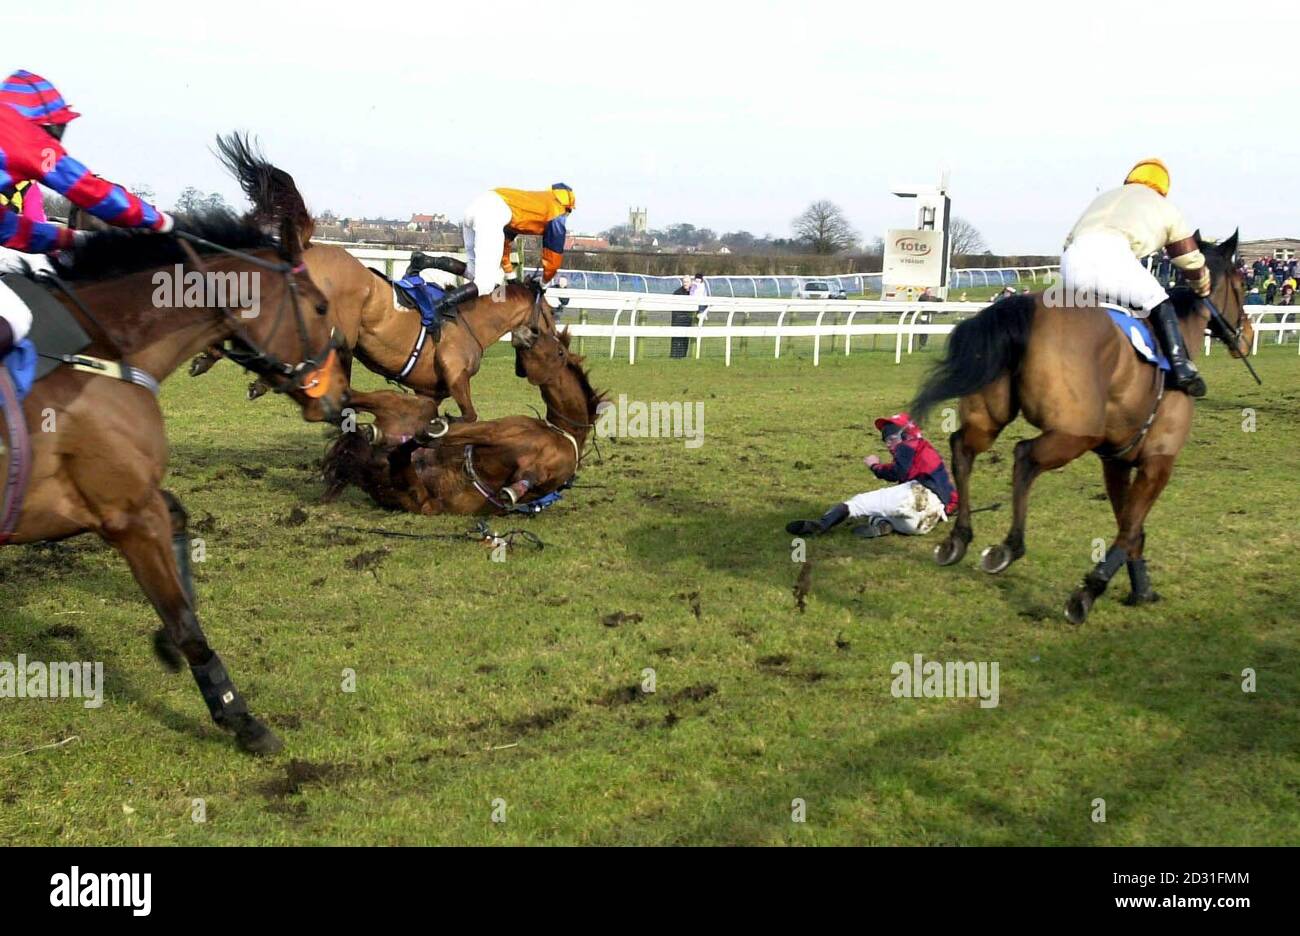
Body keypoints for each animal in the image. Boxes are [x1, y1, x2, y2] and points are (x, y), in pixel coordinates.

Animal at [0, 201, 351, 759]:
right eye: (319, 308)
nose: (340, 395)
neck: (106, 351)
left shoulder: (124, 501)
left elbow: (180, 524)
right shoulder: (125, 514)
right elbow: (185, 623)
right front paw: (240, 717)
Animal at [325, 328, 608, 514]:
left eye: (559, 351)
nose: (530, 331)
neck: (561, 432)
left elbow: (524, 480)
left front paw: (514, 490)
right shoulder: (493, 431)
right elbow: (448, 433)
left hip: (419, 496)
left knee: (394, 452)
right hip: (413, 406)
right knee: (353, 399)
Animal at [909, 232, 1253, 624]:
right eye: (1242, 284)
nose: (1246, 335)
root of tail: (1020, 307)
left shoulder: (1116, 461)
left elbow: (1131, 529)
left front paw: (1141, 589)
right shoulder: (1158, 463)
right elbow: (1130, 529)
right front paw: (1090, 590)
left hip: (988, 416)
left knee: (963, 448)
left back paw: (958, 538)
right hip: (1075, 434)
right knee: (1024, 455)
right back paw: (1009, 546)